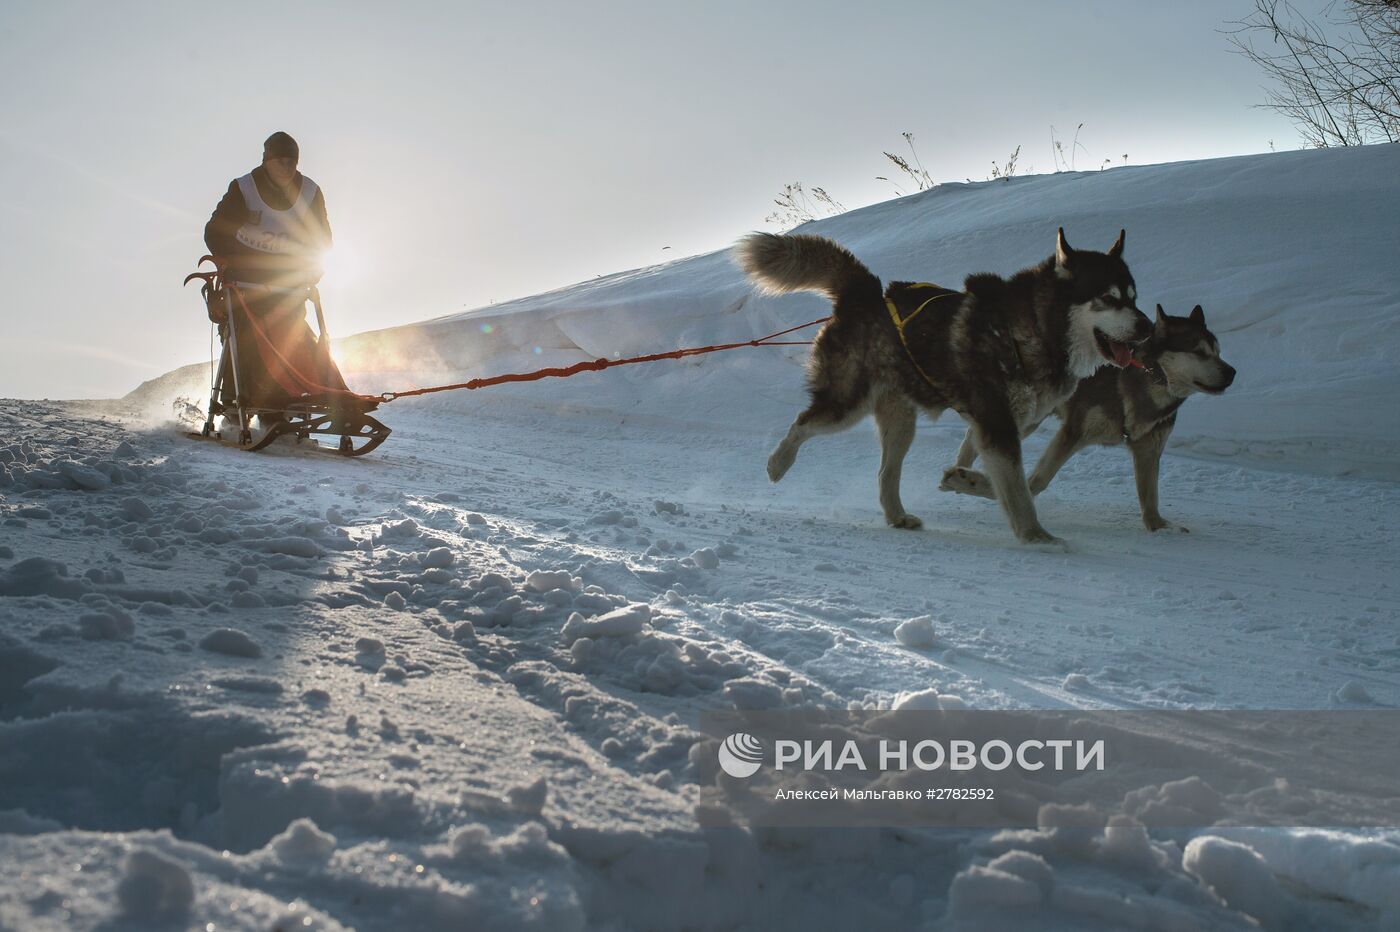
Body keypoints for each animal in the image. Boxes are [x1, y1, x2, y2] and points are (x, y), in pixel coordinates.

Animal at [733, 226, 1148, 545]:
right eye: (1108, 298)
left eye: (1134, 297)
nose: (1147, 326)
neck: (1032, 328)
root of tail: (863, 294)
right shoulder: (997, 423)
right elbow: (1019, 490)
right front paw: (1036, 537)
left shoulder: (1005, 423)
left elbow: (1004, 475)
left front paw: (963, 479)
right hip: (846, 405)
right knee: (801, 424)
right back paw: (777, 463)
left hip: (901, 423)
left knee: (885, 473)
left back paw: (897, 516)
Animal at [940, 303, 1237, 528]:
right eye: (1199, 351)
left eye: (1219, 351)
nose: (1232, 372)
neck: (1144, 380)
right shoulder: (1073, 433)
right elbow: (1036, 482)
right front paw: (974, 482)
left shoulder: (1149, 450)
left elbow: (1150, 499)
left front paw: (1160, 527)